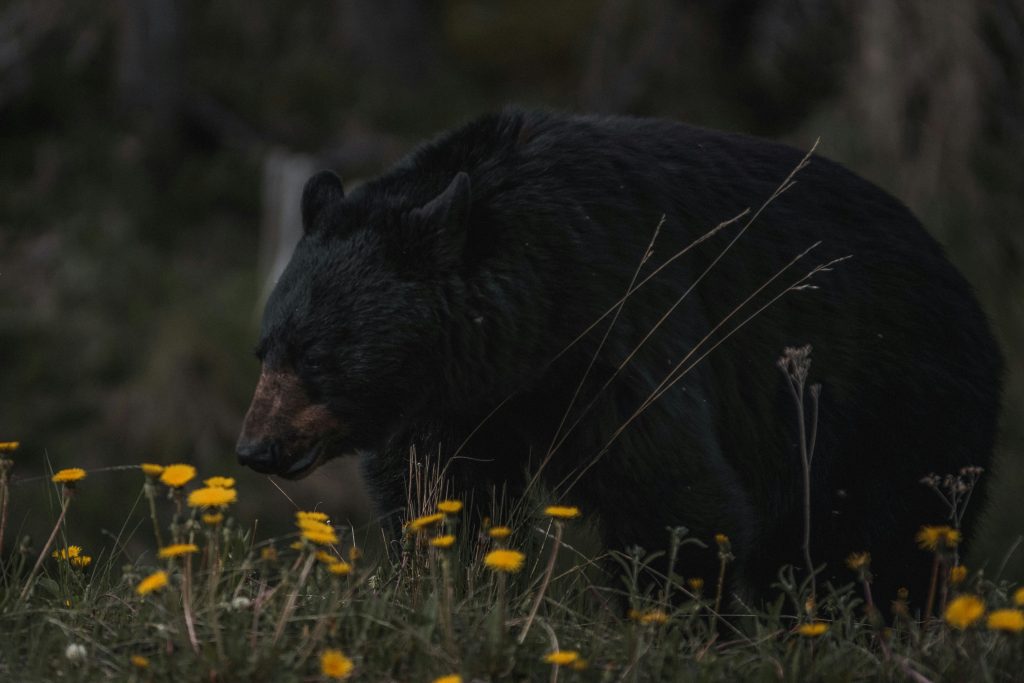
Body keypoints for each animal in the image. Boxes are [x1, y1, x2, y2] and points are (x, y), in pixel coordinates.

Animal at [236, 108, 1002, 605]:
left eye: (318, 355)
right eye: (266, 348)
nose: (256, 447)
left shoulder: (619, 329)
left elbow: (675, 493)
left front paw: (672, 621)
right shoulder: (456, 400)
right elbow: (440, 494)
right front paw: (449, 586)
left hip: (895, 409)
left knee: (882, 540)